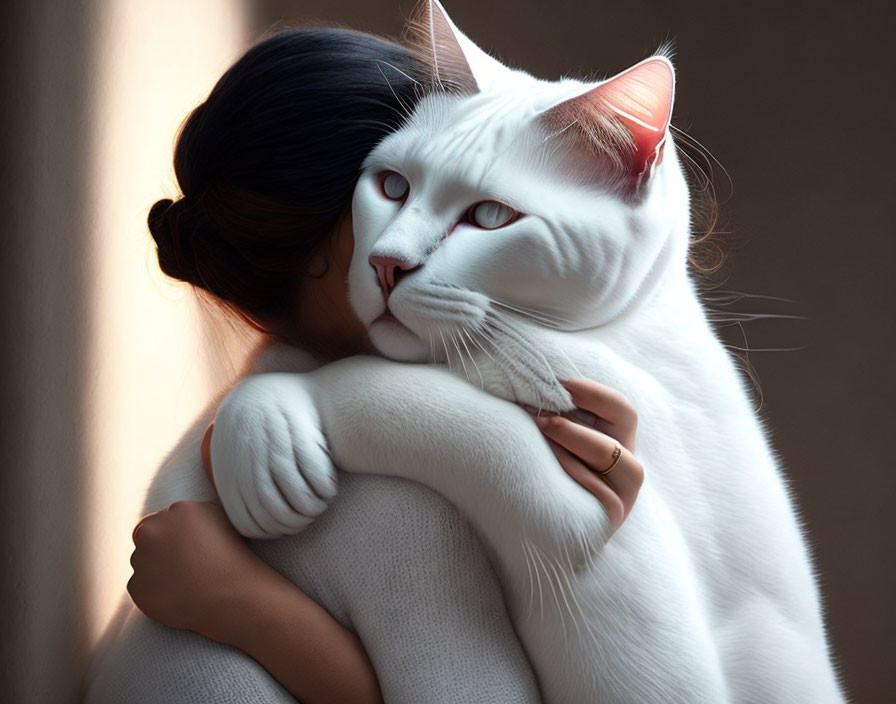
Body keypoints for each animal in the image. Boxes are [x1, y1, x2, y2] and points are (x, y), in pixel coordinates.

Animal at [203, 2, 848, 700]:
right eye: (392, 186)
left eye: (490, 218)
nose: (385, 263)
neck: (616, 338)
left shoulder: (623, 572)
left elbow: (442, 417)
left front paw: (265, 416)